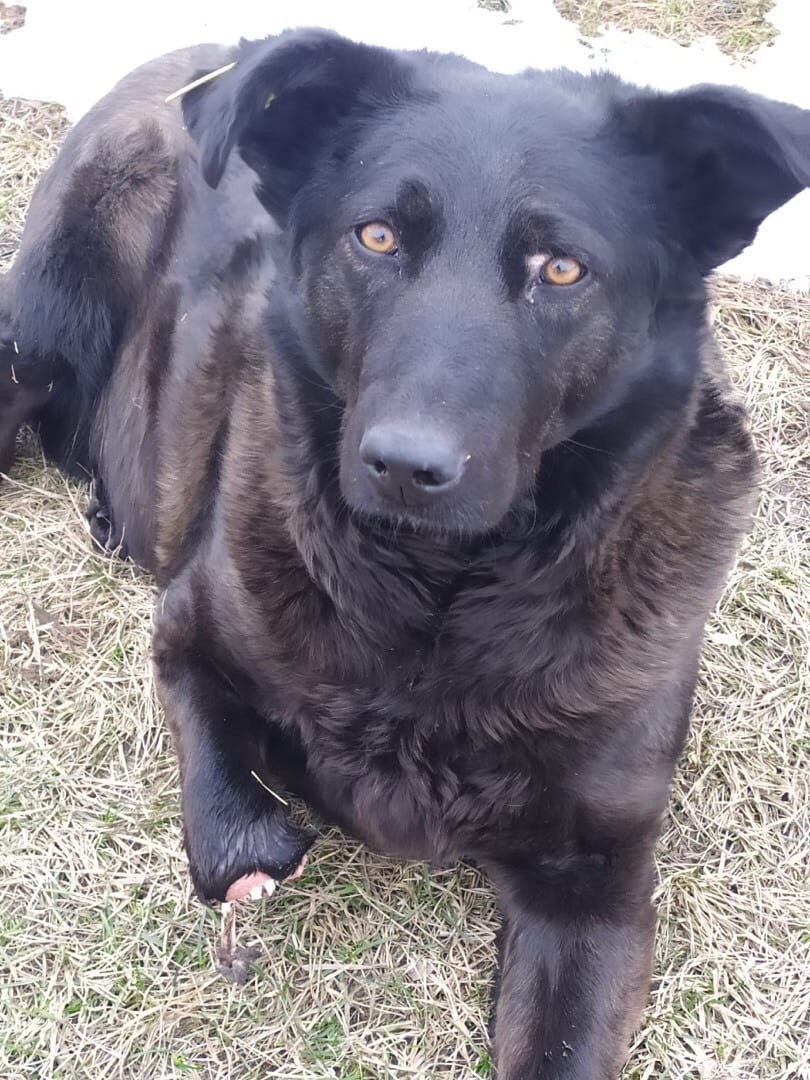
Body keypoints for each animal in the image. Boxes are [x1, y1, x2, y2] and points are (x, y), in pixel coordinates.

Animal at [1, 29, 810, 1075]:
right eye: (377, 237)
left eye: (562, 270)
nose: (404, 465)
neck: (437, 597)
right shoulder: (188, 626)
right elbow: (218, 795)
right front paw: (250, 843)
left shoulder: (599, 891)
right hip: (33, 345)